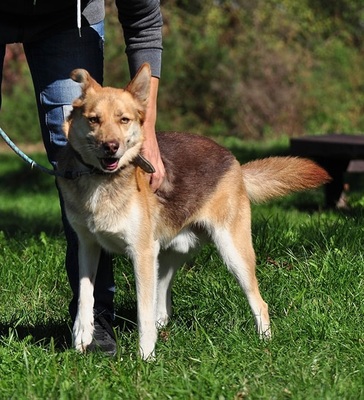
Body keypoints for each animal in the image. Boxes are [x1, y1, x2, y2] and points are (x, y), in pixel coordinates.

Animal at [56, 64, 330, 360]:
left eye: (124, 120)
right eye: (94, 120)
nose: (111, 146)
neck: (101, 181)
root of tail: (235, 162)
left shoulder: (141, 253)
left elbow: (143, 314)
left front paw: (145, 359)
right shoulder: (88, 245)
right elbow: (86, 294)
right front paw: (82, 334)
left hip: (233, 252)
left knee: (259, 302)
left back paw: (264, 343)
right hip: (168, 254)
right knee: (162, 305)